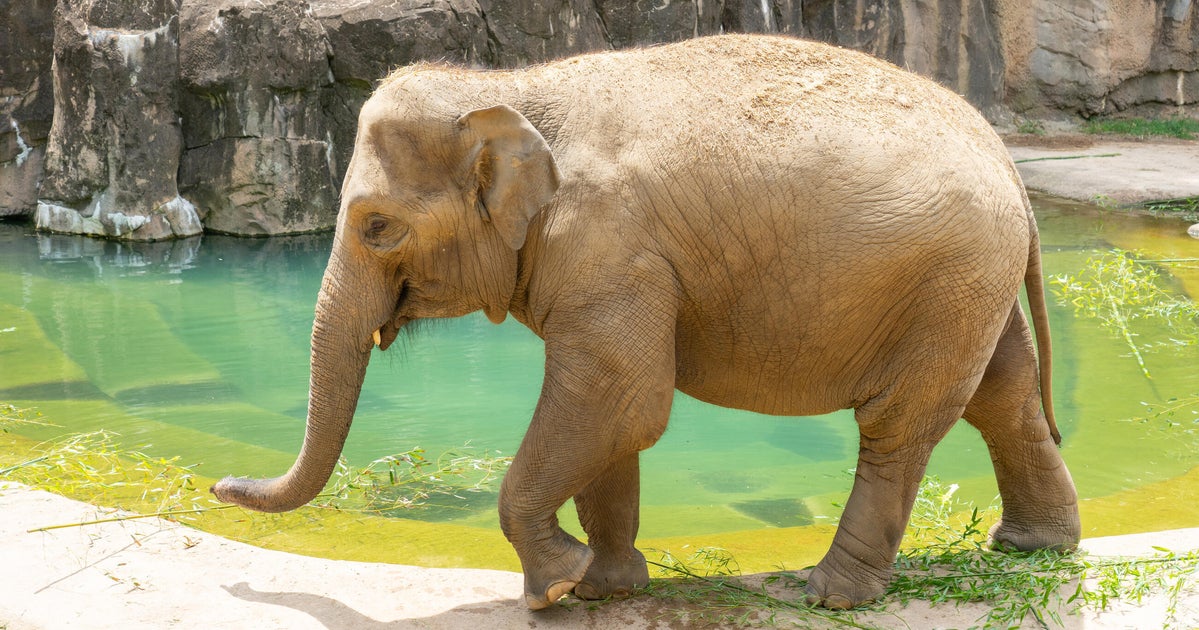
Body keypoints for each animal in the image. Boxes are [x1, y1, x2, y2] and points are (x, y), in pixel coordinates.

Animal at [212, 34, 1081, 610]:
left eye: (376, 228)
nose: (217, 485)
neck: (515, 90)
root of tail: (1004, 155)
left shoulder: (610, 245)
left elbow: (620, 396)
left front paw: (553, 586)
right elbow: (613, 414)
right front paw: (605, 586)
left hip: (947, 275)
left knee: (899, 426)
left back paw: (826, 595)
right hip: (971, 281)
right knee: (1002, 396)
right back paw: (1033, 547)